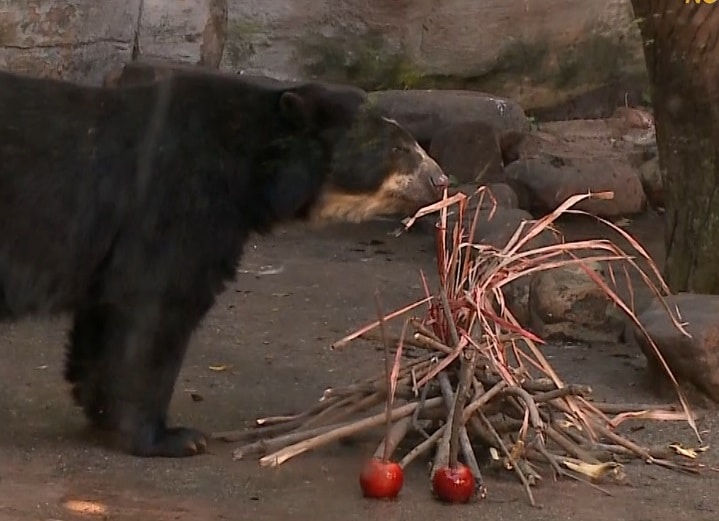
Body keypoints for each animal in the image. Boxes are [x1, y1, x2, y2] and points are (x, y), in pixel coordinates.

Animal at [0, 67, 450, 458]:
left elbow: (102, 314)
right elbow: (155, 308)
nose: (441, 180)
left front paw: (100, 410)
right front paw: (174, 437)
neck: (252, 166)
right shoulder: (179, 202)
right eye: (398, 148)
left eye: (413, 143)